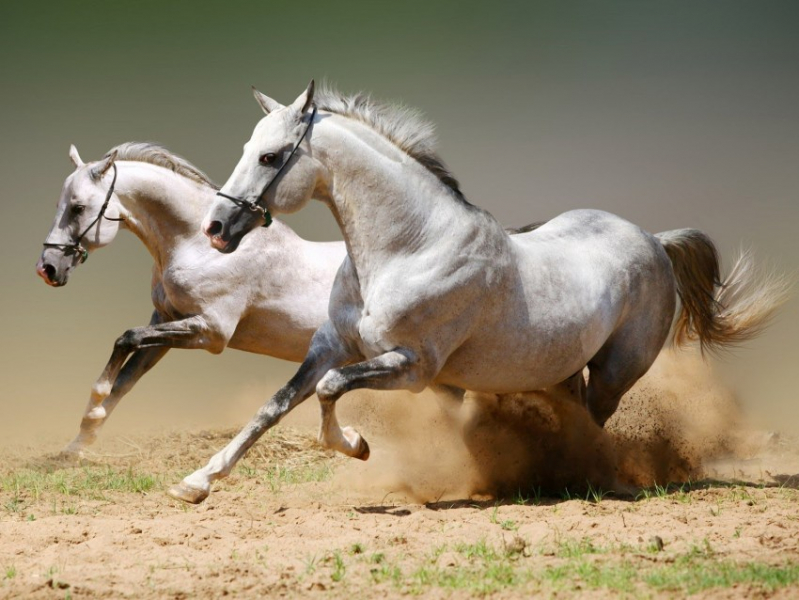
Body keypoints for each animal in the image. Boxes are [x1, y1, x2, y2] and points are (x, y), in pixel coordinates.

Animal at [37, 143, 346, 458]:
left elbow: (126, 339)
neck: (200, 247)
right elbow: (125, 380)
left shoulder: (211, 332)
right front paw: (77, 445)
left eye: (77, 208)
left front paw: (94, 406)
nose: (47, 268)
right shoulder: (166, 322)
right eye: (59, 205)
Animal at [169, 81, 788, 502]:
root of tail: (654, 241)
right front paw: (196, 481)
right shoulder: (331, 345)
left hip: (616, 371)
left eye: (270, 156)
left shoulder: (413, 367)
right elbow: (274, 406)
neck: (409, 248)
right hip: (562, 369)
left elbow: (329, 390)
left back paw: (587, 477)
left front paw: (357, 445)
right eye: (249, 147)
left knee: (595, 423)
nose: (216, 228)